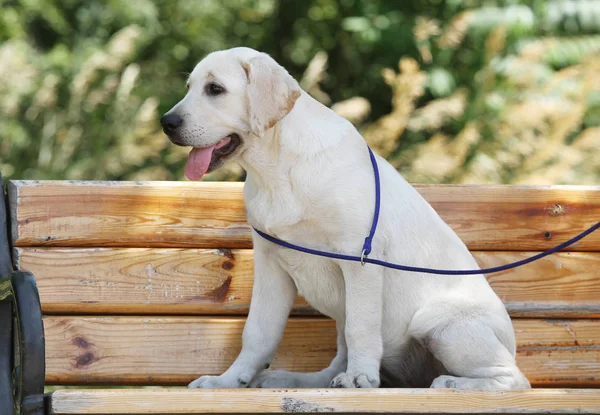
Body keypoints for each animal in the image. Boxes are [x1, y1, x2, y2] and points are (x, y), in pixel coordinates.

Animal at [159, 48, 528, 390]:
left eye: (215, 89)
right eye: (190, 87)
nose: (167, 123)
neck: (276, 168)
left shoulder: (360, 258)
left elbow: (360, 327)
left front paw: (360, 377)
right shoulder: (269, 264)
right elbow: (258, 332)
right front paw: (227, 381)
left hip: (440, 323)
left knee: (514, 378)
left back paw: (453, 383)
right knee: (336, 361)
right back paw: (299, 379)